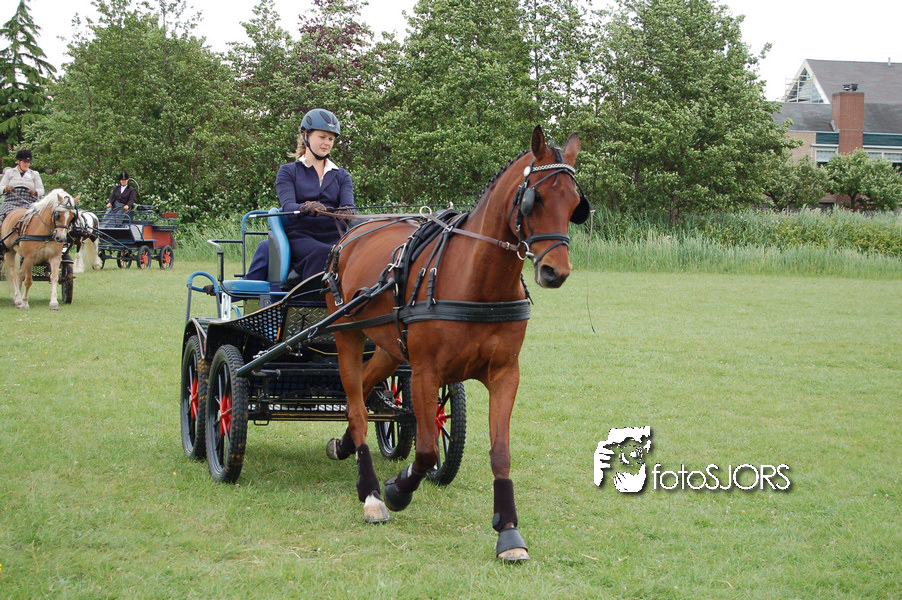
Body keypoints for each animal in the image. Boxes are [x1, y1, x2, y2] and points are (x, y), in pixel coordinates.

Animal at [322, 126, 589, 561]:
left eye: (574, 204)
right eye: (535, 199)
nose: (555, 271)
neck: (477, 283)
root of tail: (353, 233)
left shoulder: (505, 375)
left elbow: (500, 452)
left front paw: (508, 532)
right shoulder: (425, 372)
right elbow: (428, 449)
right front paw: (397, 490)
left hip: (388, 347)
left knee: (362, 388)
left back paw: (344, 445)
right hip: (347, 333)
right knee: (358, 406)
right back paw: (371, 493)